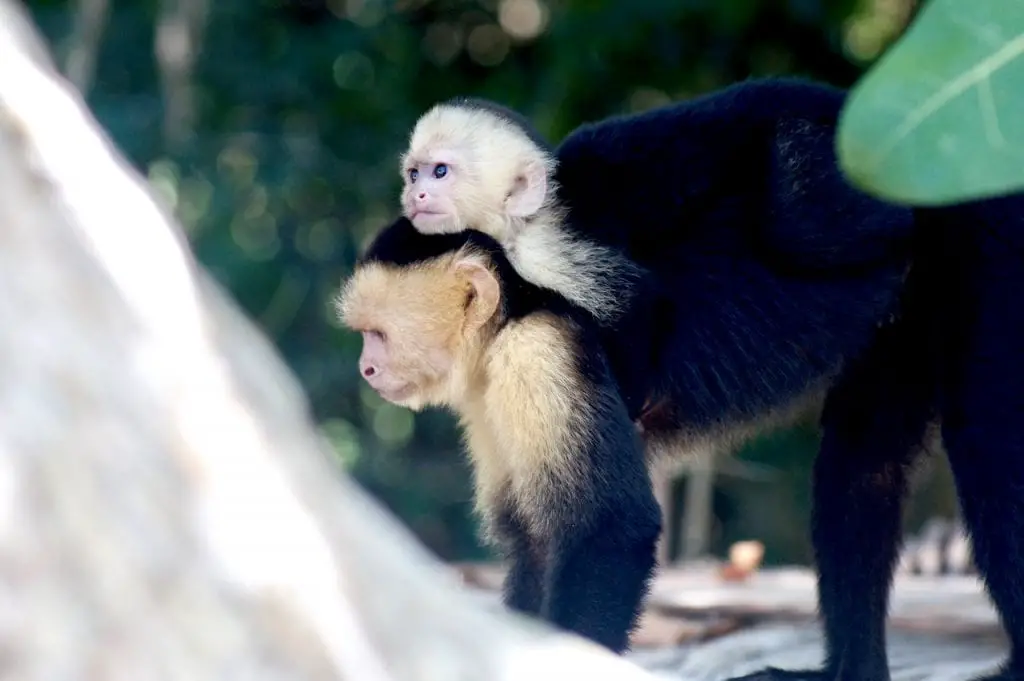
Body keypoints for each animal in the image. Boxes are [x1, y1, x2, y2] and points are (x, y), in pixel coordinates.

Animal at [350, 74, 1024, 679]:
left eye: (377, 333)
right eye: (415, 173)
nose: (366, 367)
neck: (511, 303)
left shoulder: (542, 346)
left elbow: (610, 532)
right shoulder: (489, 392)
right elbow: (534, 544)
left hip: (977, 236)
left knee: (985, 445)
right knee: (862, 466)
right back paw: (849, 670)